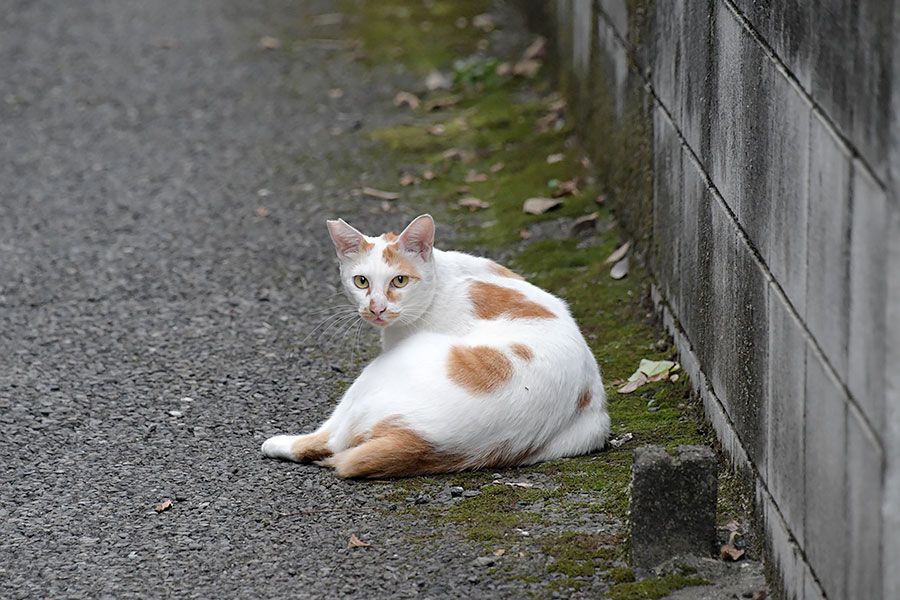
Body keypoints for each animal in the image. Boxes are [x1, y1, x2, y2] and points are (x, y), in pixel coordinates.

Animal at [260, 216, 612, 478]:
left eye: (399, 281)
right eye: (361, 282)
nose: (377, 308)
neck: (441, 279)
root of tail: (423, 442)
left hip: (379, 374)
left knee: (331, 439)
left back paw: (278, 443)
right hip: (588, 430)